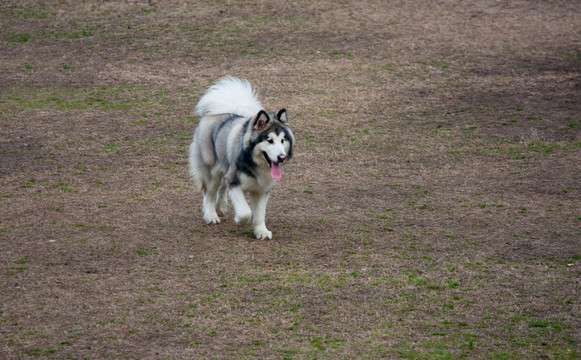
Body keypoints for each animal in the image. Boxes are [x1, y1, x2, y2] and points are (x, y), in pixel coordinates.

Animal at [188, 76, 292, 239]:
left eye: (283, 140)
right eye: (269, 140)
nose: (281, 157)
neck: (255, 163)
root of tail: (217, 114)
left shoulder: (262, 190)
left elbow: (260, 214)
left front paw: (261, 231)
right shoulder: (234, 182)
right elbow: (245, 212)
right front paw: (239, 220)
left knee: (221, 187)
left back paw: (221, 207)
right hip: (211, 172)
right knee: (209, 194)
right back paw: (211, 215)